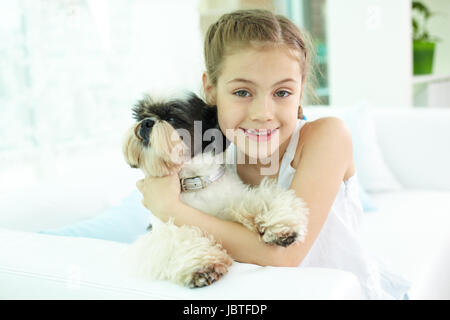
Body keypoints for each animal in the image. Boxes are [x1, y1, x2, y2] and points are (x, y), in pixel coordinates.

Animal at [121, 91, 308, 288]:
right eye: (139, 116)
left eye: (172, 118)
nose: (146, 122)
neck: (194, 182)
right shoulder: (161, 231)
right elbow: (179, 237)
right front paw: (203, 265)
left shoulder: (232, 199)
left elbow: (258, 198)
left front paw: (282, 224)